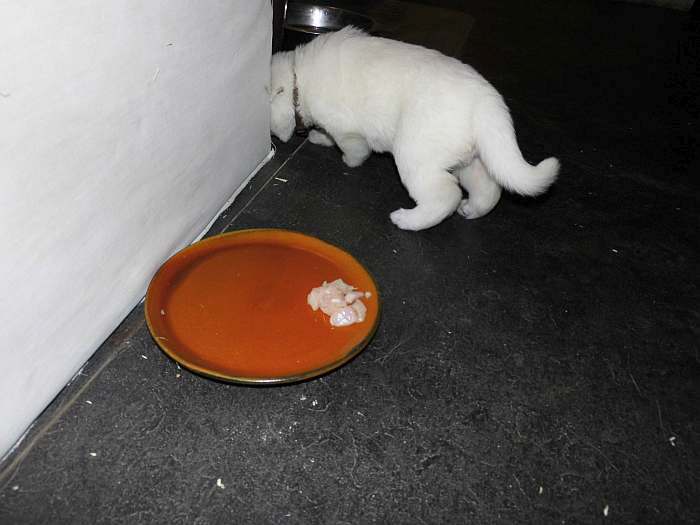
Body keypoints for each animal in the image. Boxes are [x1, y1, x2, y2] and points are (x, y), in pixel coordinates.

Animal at [270, 27, 560, 229]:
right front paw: (319, 137)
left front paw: (348, 160)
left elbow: (352, 148)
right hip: (467, 157)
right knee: (488, 187)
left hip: (415, 154)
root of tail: (486, 101)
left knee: (446, 195)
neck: (299, 80)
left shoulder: (347, 129)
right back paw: (472, 210)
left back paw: (407, 220)